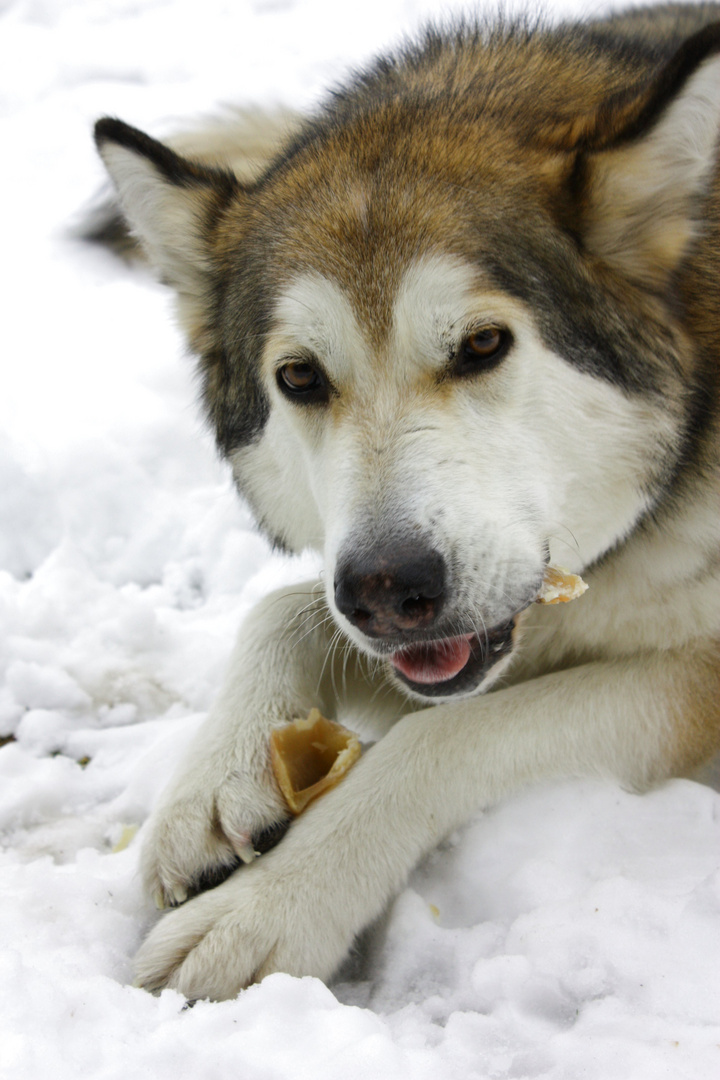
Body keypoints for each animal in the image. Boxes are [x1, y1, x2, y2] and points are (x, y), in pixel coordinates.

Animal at [92, 2, 720, 1002]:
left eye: (483, 345)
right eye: (301, 378)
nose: (388, 590)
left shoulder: (695, 673)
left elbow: (448, 734)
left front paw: (269, 906)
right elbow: (283, 608)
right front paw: (213, 783)